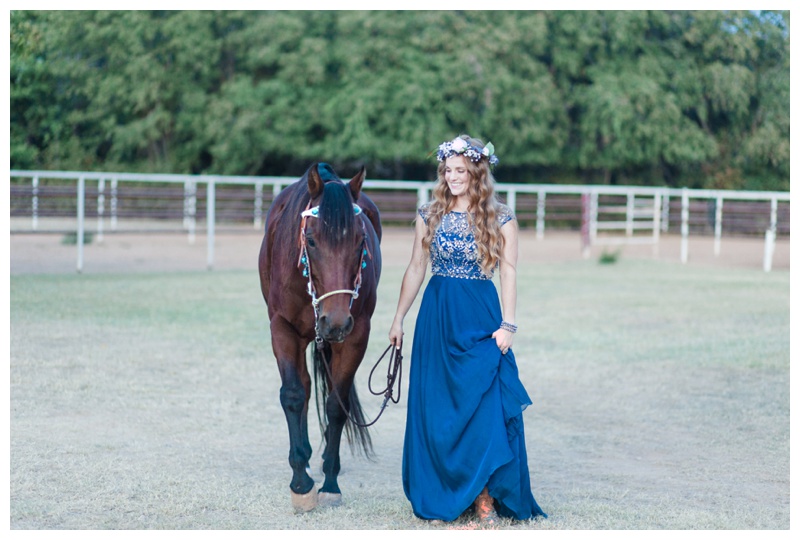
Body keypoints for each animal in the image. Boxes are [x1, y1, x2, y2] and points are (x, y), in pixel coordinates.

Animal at [256, 162, 382, 512]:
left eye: (360, 240)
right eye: (311, 241)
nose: (335, 321)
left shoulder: (356, 335)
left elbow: (336, 406)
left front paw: (330, 483)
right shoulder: (282, 329)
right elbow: (293, 394)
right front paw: (301, 482)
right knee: (304, 386)